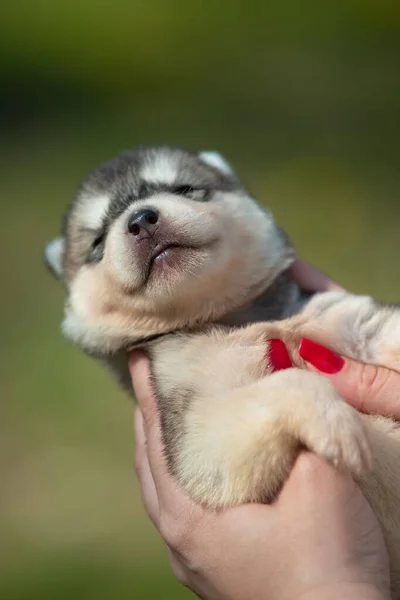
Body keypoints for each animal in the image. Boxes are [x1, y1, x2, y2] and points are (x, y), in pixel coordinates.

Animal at [43, 146, 400, 596]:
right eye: (96, 240)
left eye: (185, 188)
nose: (140, 219)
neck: (232, 319)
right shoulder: (199, 440)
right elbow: (288, 385)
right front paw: (334, 419)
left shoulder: (350, 319)